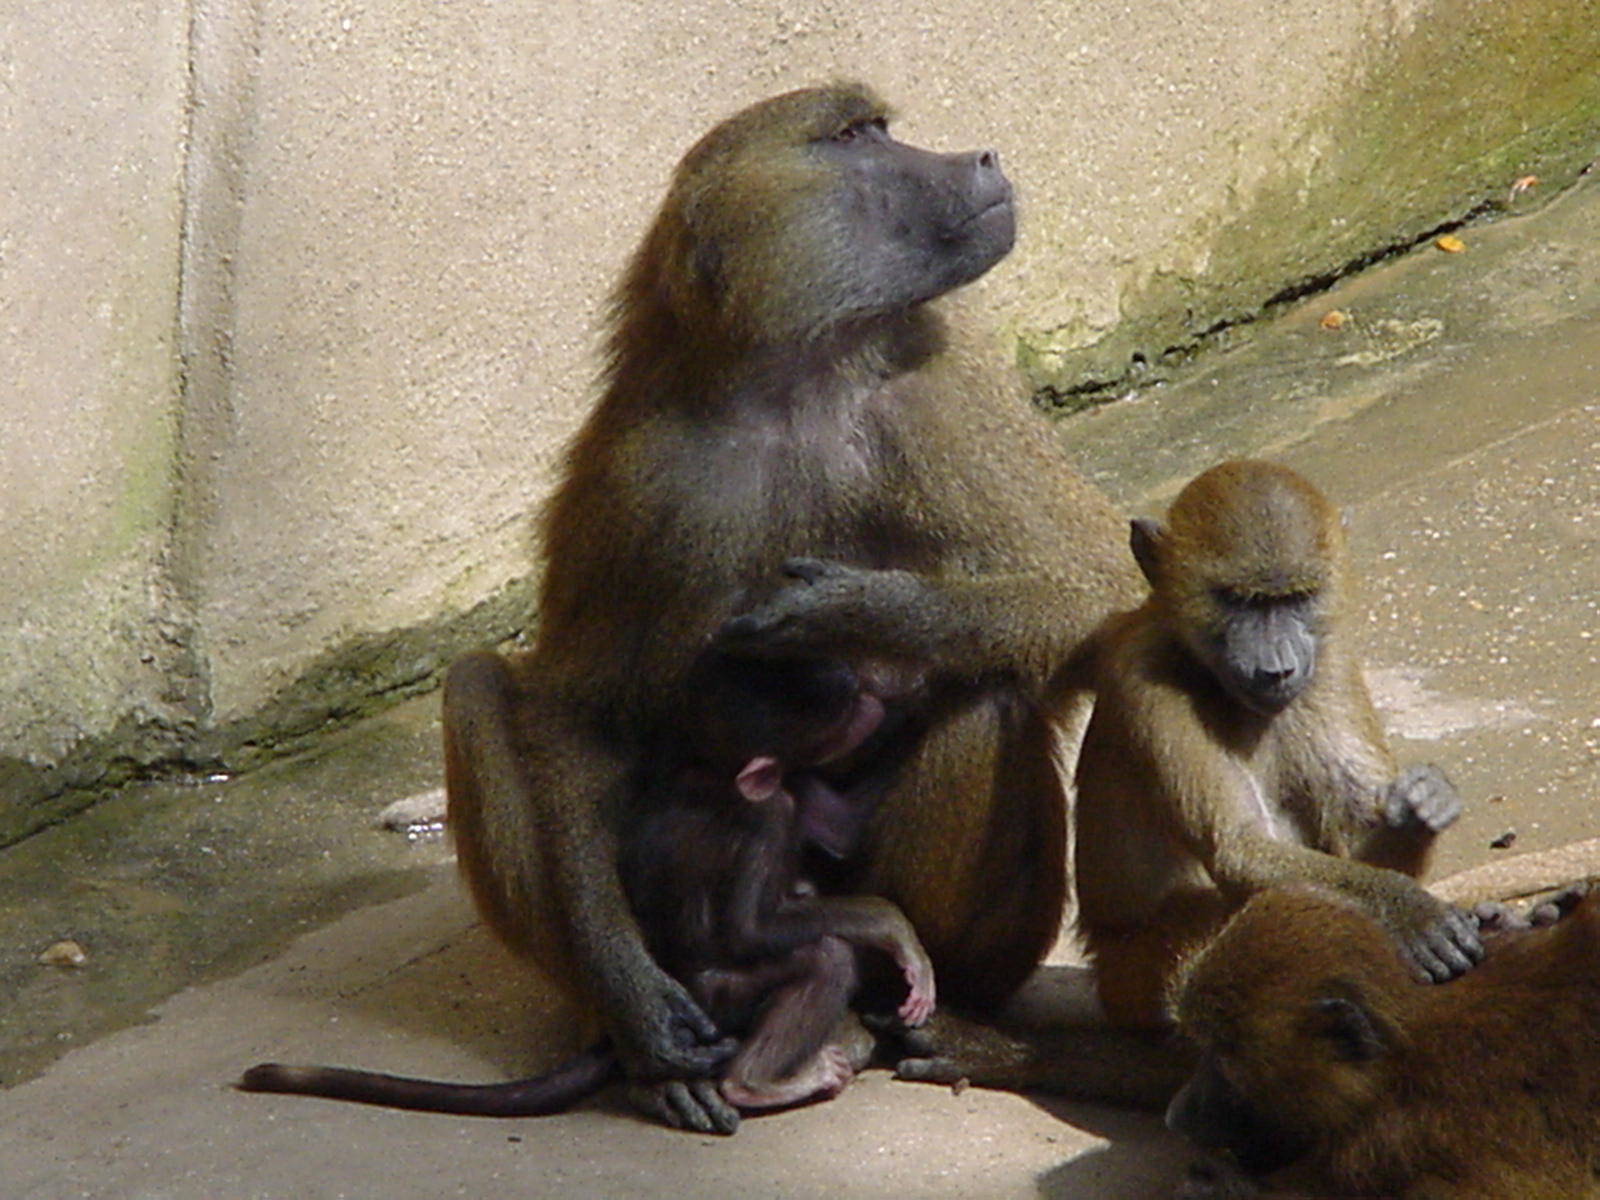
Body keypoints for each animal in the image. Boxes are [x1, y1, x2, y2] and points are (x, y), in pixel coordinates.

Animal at [439, 81, 1158, 1132]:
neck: (792, 383)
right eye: (855, 137)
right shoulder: (637, 474)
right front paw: (634, 999)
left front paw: (857, 613)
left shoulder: (939, 397)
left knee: (989, 703)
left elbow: (1108, 593)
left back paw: (904, 1016)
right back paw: (636, 1051)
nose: (980, 158)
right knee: (476, 688)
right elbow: (575, 713)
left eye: (882, 128)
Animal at [1071, 459, 1482, 1032]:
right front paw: (1409, 912)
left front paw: (1423, 803)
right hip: (1133, 978)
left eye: (1296, 598)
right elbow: (1239, 849)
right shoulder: (1146, 679)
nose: (1278, 669)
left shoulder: (1327, 661)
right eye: (1238, 599)